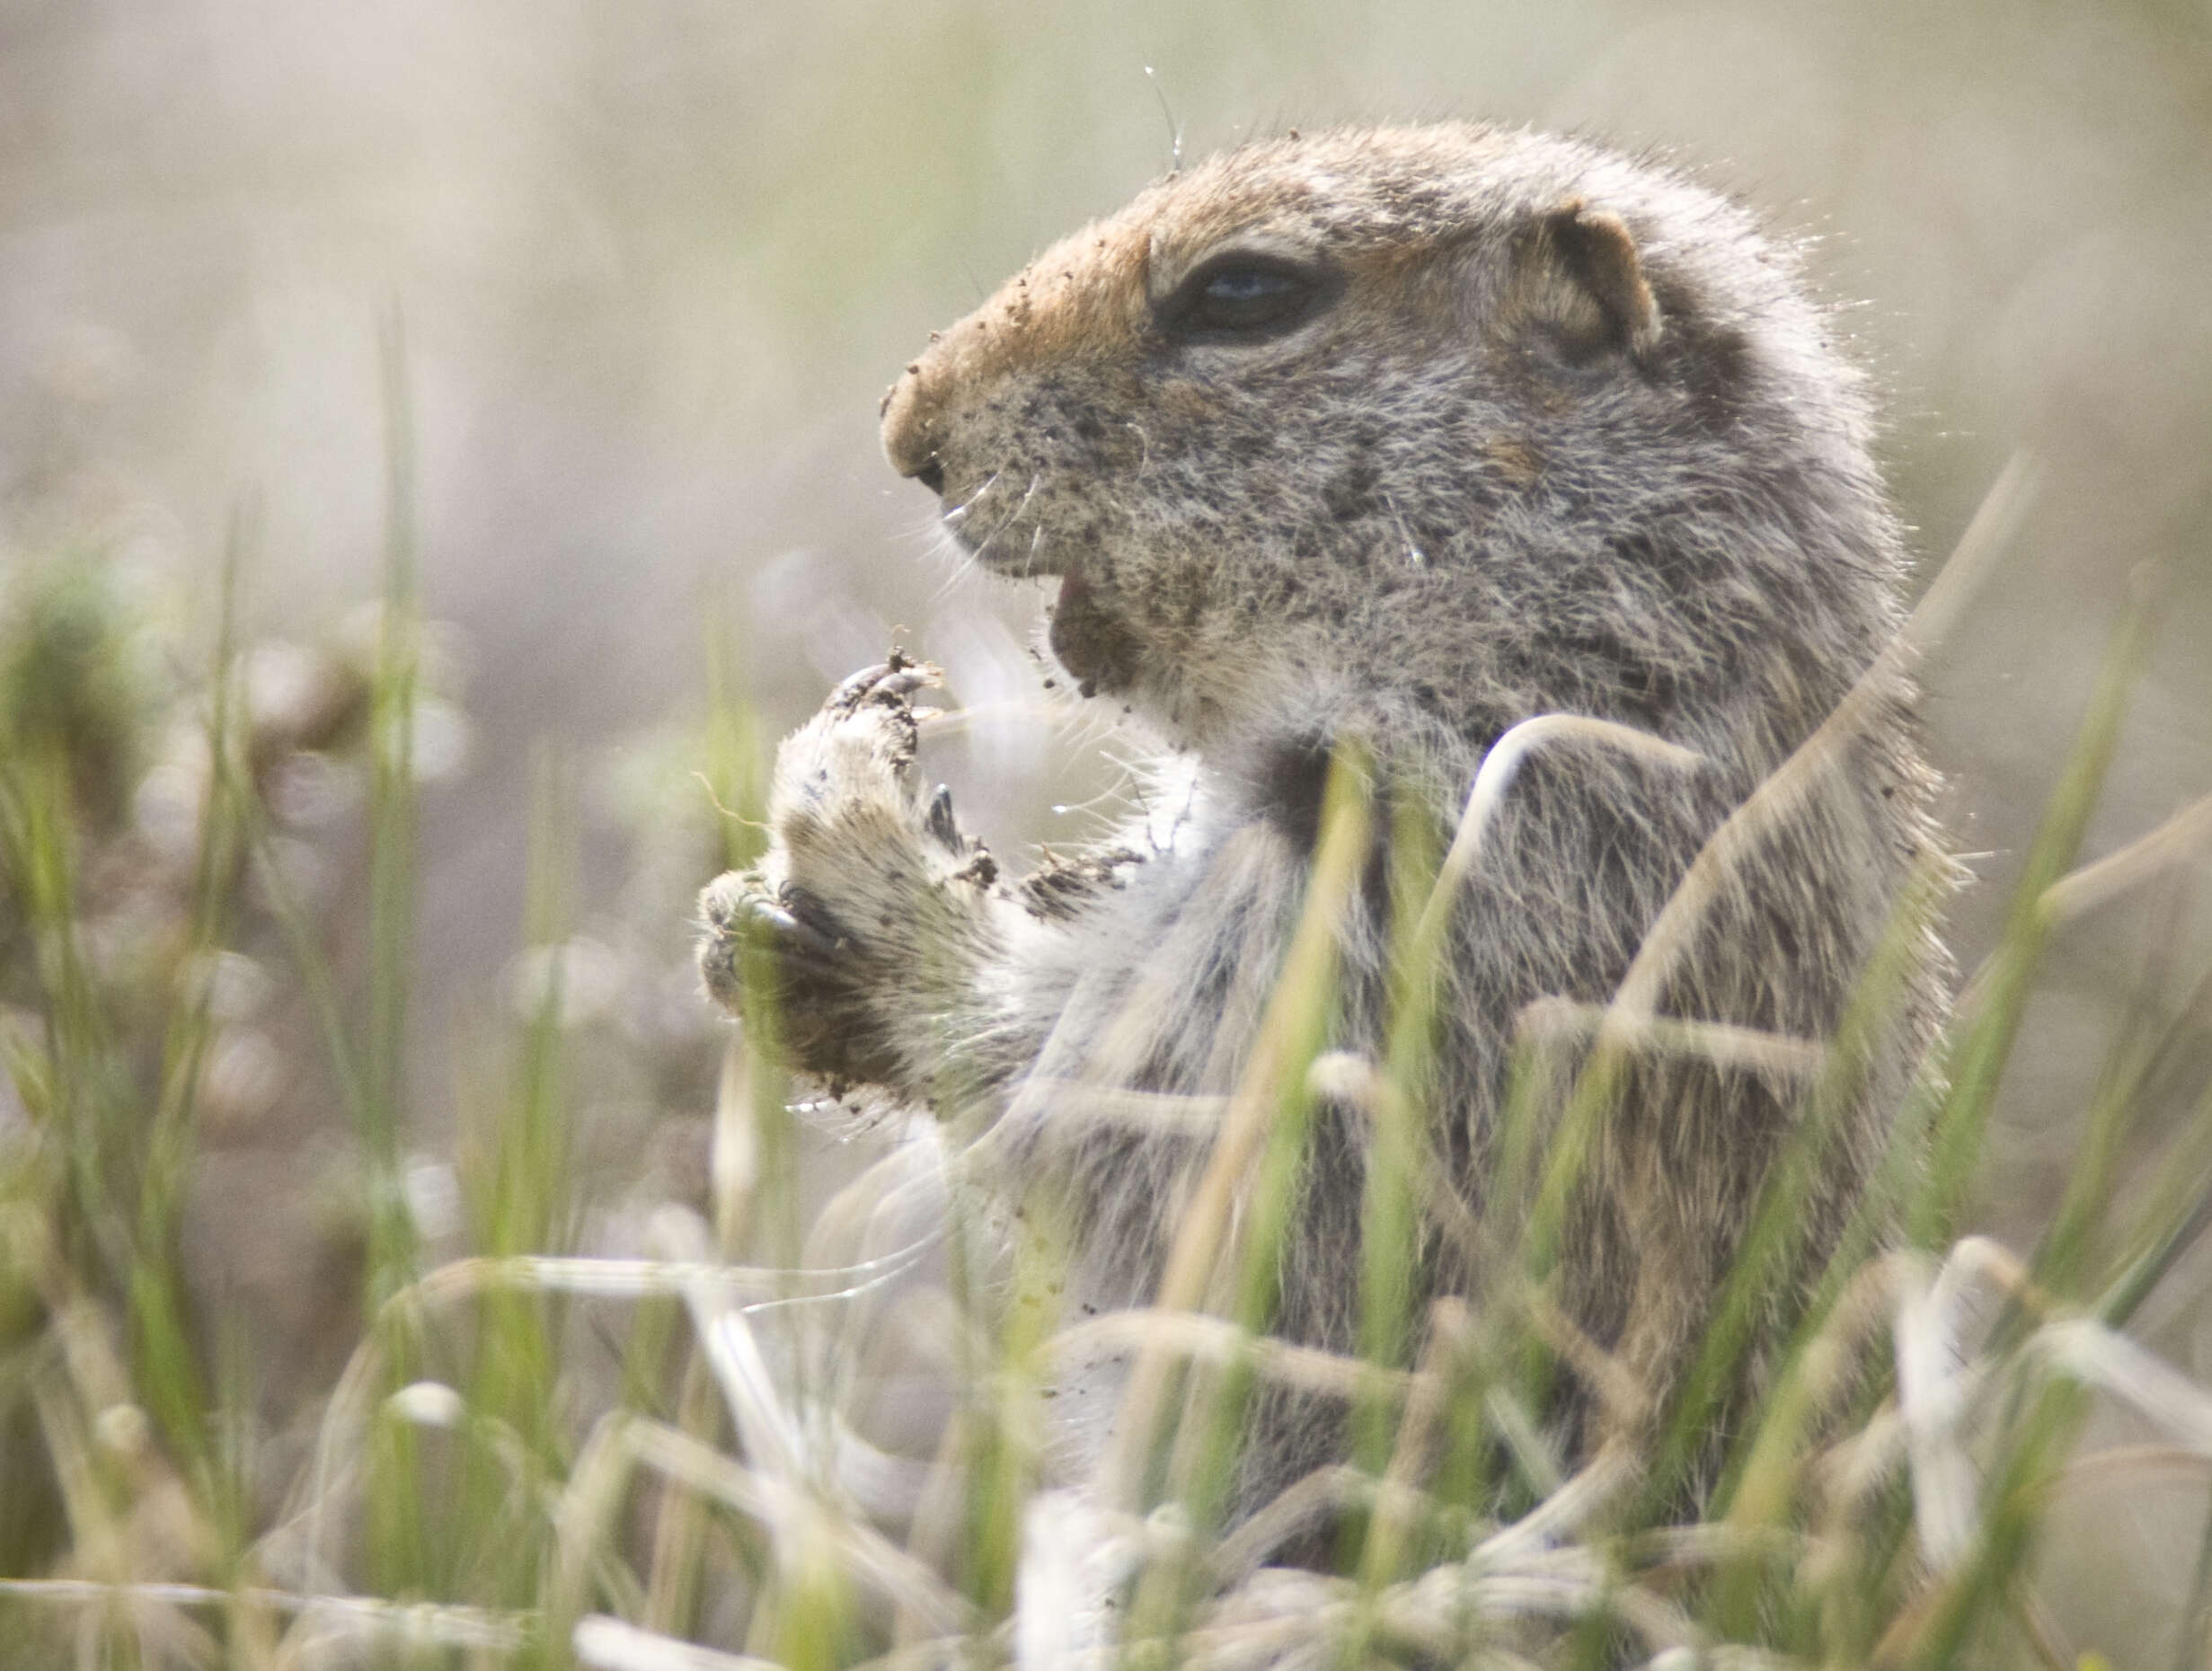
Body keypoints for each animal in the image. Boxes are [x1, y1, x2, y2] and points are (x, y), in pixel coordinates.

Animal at [698, 123, 1946, 1522]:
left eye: (1244, 292)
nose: (903, 430)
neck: (1573, 636)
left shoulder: (1458, 882)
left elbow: (1156, 1128)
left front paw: (850, 800)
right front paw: (747, 925)